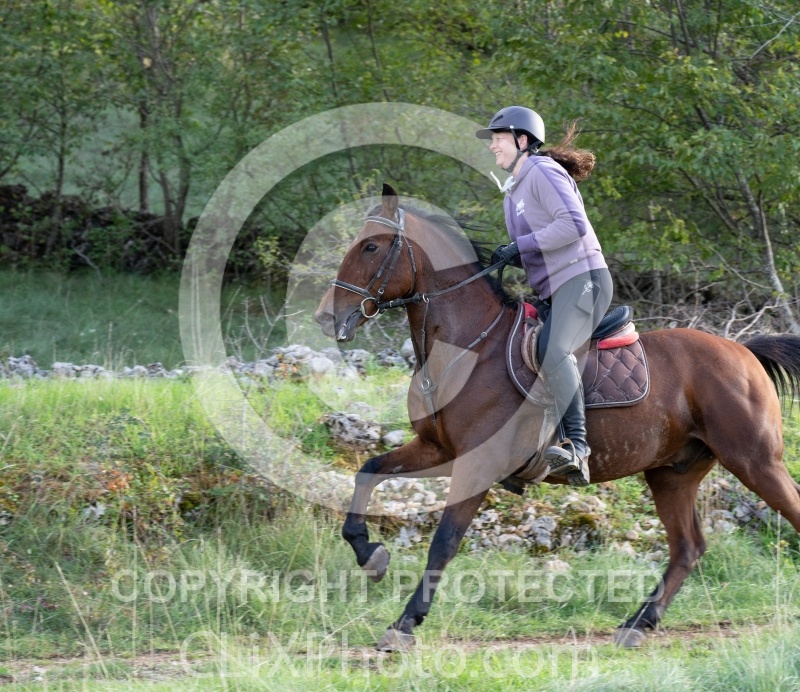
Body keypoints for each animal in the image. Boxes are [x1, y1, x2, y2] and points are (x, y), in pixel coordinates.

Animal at [313, 183, 800, 652]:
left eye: (370, 247)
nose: (325, 316)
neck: (468, 346)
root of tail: (744, 352)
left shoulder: (477, 463)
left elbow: (444, 542)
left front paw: (405, 623)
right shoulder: (438, 450)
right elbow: (368, 471)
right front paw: (371, 556)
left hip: (755, 460)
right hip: (672, 474)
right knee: (687, 548)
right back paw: (637, 624)